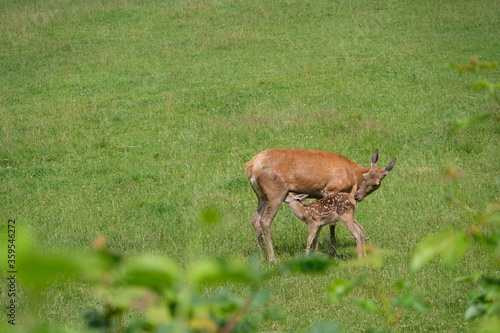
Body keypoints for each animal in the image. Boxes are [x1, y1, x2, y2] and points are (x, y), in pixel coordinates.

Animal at [245, 148, 394, 262]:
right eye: (365, 177)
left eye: (376, 184)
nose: (358, 196)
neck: (351, 173)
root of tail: (251, 166)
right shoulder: (331, 189)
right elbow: (332, 224)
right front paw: (333, 253)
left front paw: (316, 252)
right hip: (275, 192)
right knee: (265, 221)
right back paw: (272, 258)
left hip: (261, 196)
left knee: (255, 220)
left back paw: (262, 256)